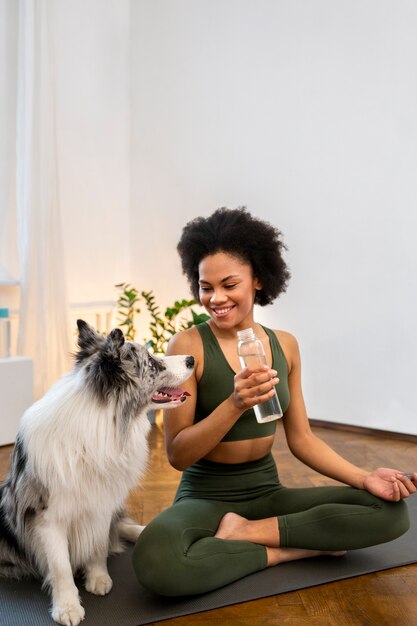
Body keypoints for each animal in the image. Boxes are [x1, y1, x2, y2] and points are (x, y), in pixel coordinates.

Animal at [0, 320, 193, 620]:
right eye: (151, 362)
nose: (192, 359)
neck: (100, 425)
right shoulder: (46, 516)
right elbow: (60, 566)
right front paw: (68, 606)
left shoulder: (103, 499)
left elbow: (99, 545)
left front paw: (98, 578)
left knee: (121, 526)